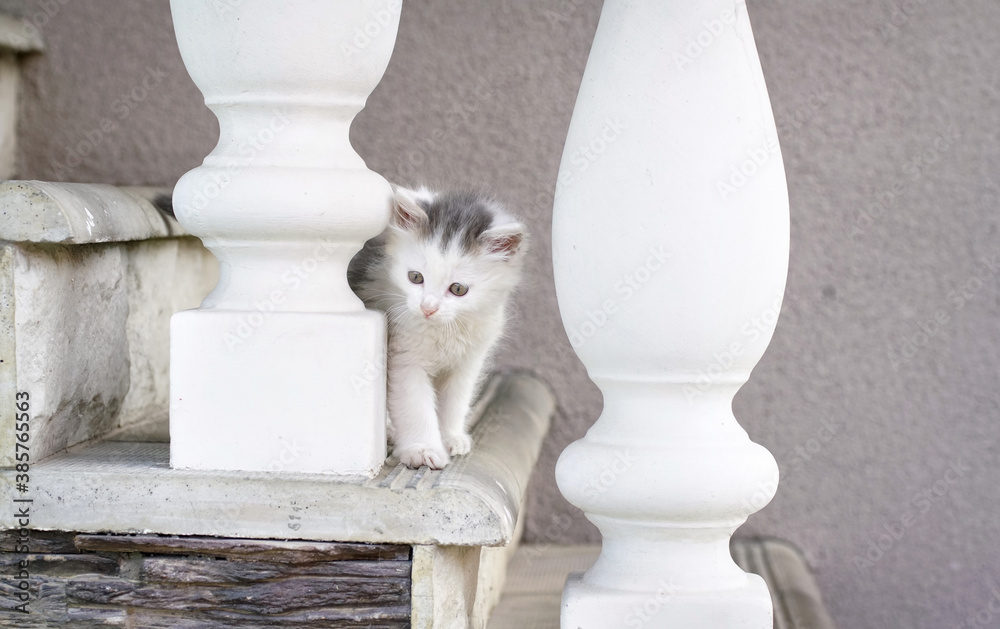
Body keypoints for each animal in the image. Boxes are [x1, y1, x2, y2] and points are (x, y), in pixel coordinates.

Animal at [348, 184, 528, 468]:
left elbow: (455, 402)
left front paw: (450, 437)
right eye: (415, 277)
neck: (444, 330)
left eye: (458, 289)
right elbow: (415, 407)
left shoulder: (469, 361)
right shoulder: (403, 357)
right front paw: (422, 449)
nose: (428, 307)